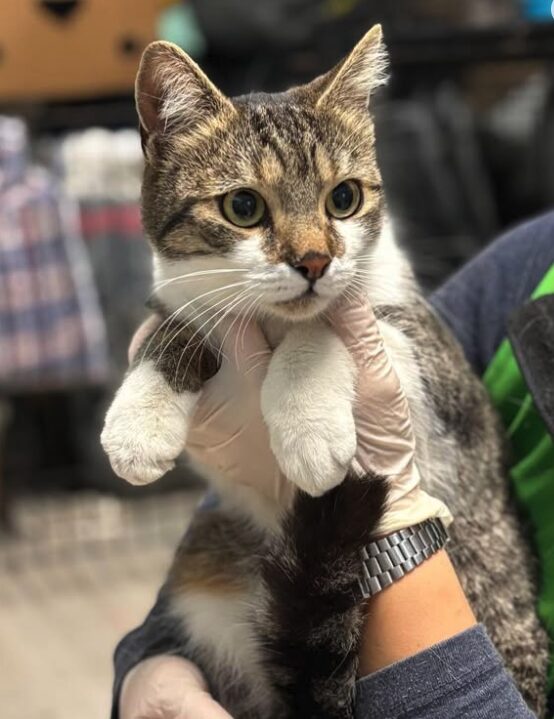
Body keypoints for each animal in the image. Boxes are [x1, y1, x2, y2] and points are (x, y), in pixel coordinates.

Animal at [101, 26, 544, 719]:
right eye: (243, 206)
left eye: (344, 198)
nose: (313, 261)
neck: (268, 321)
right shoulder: (186, 296)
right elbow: (175, 328)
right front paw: (137, 426)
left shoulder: (435, 364)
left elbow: (333, 322)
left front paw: (307, 428)